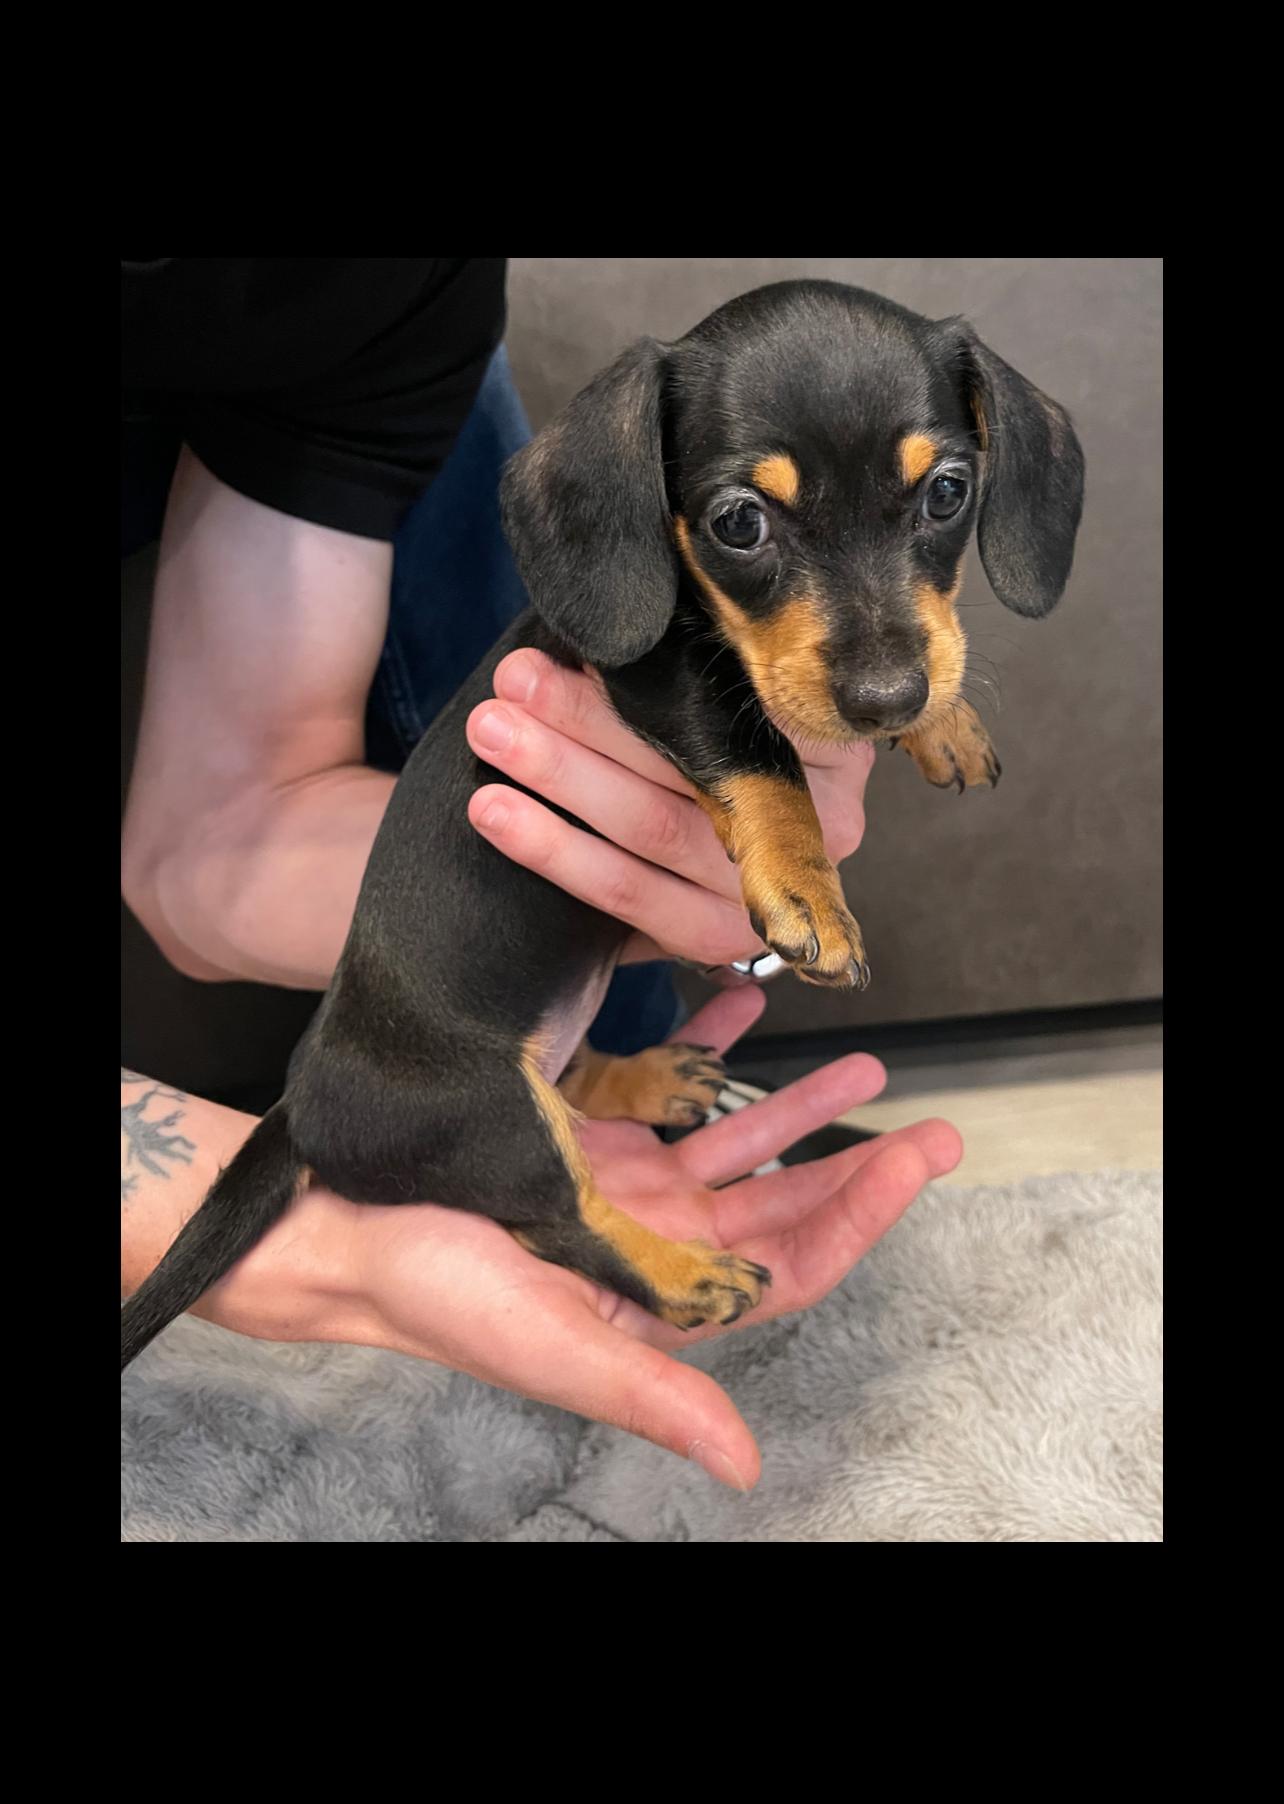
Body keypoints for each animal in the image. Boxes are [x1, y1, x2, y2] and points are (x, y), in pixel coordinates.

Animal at [121, 279, 1085, 1367]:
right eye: (739, 522)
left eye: (948, 493)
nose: (885, 700)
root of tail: (301, 1108)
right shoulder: (660, 675)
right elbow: (761, 749)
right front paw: (811, 892)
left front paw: (944, 723)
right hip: (494, 1116)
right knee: (558, 1219)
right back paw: (683, 1272)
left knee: (574, 1078)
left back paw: (651, 1080)